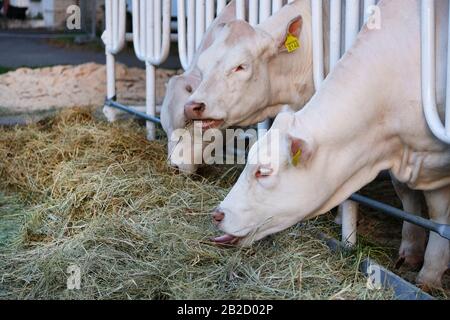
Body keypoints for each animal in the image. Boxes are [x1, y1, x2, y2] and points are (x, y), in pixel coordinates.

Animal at [213, 0, 450, 290]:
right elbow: (406, 194)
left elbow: (439, 213)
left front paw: (430, 274)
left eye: (264, 172)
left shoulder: (435, 160)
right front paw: (411, 249)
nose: (217, 215)